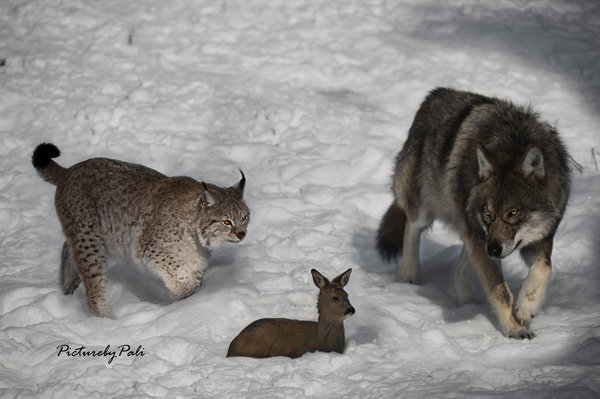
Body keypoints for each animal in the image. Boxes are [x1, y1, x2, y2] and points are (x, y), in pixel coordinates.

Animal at [33, 144, 248, 318]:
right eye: (226, 221)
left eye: (245, 217)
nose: (242, 234)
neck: (196, 235)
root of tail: (69, 170)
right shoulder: (146, 247)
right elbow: (179, 273)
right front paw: (179, 296)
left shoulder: (194, 260)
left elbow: (193, 282)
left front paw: (186, 304)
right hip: (90, 239)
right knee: (93, 290)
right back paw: (105, 321)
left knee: (66, 247)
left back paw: (68, 286)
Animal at [378, 88, 568, 340]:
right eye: (487, 212)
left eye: (513, 212)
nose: (494, 250)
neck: (513, 142)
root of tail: (436, 93)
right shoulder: (483, 238)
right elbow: (501, 293)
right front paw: (514, 328)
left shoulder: (538, 240)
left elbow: (545, 268)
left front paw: (526, 308)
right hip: (431, 212)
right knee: (411, 227)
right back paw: (409, 275)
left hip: (473, 233)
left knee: (458, 271)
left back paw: (468, 302)